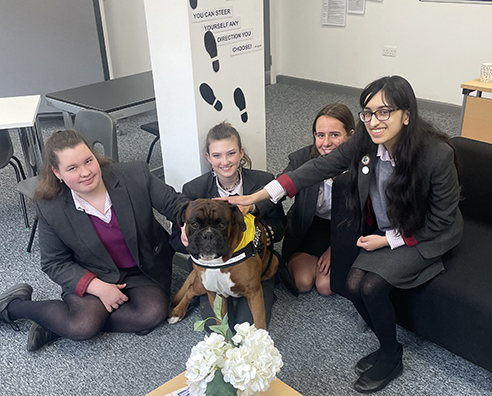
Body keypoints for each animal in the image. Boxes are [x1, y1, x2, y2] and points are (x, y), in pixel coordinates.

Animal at [168, 200, 276, 330]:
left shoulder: (254, 294)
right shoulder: (215, 294)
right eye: (194, 224)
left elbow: (259, 324)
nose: (208, 235)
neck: (219, 262)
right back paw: (177, 312)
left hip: (274, 263)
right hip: (202, 286)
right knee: (190, 290)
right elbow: (221, 324)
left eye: (221, 225)